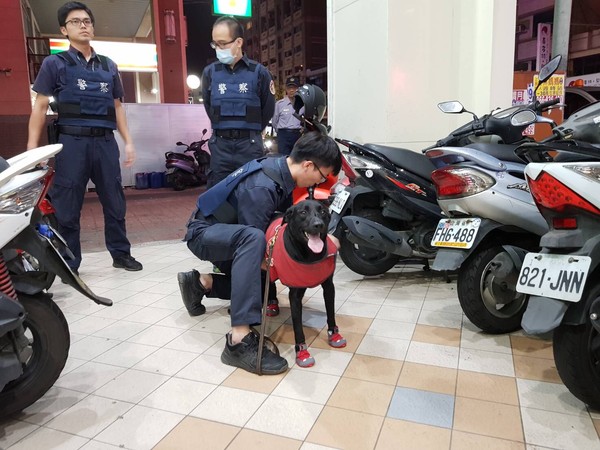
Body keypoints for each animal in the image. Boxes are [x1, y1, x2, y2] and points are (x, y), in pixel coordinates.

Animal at [264, 200, 344, 366]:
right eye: (302, 212)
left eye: (323, 212)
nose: (318, 224)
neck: (310, 255)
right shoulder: (295, 296)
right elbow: (298, 327)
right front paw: (302, 352)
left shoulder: (329, 287)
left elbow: (331, 312)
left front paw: (334, 335)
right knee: (271, 282)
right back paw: (272, 303)